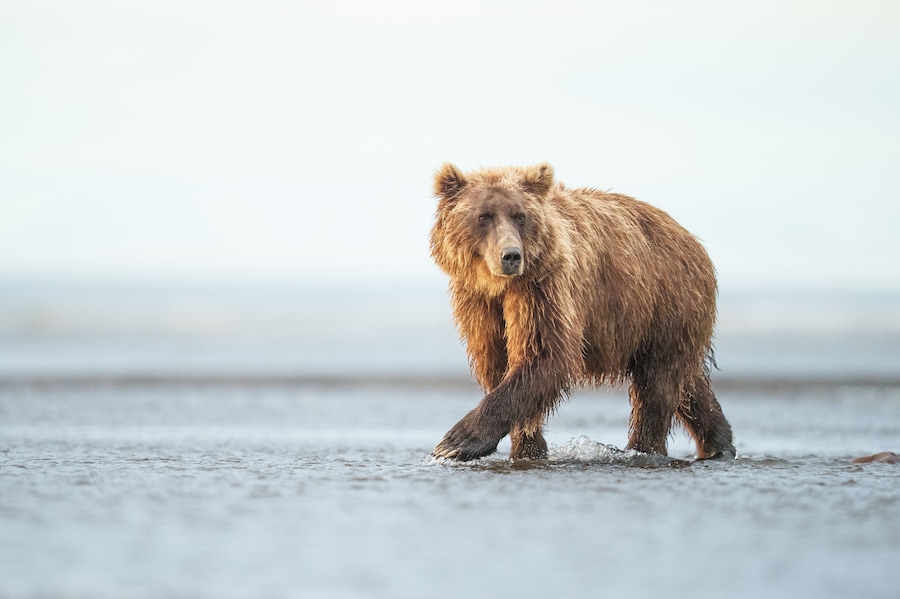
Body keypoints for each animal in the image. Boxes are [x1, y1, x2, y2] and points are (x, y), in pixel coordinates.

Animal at [429, 162, 735, 461]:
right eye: (484, 216)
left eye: (520, 216)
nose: (511, 255)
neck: (499, 285)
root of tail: (692, 239)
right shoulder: (479, 302)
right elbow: (497, 360)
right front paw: (529, 448)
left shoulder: (543, 288)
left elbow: (545, 353)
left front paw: (455, 442)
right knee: (687, 382)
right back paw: (718, 443)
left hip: (666, 302)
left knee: (657, 385)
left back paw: (644, 449)